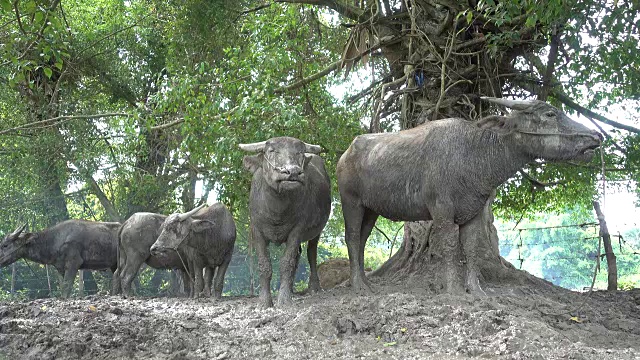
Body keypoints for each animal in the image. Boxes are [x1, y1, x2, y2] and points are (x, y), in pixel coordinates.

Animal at [239, 136, 330, 308]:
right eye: (271, 150)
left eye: (300, 152)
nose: (293, 171)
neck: (277, 210)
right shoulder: (256, 230)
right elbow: (264, 265)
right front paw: (264, 301)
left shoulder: (297, 230)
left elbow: (287, 263)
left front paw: (284, 299)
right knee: (298, 256)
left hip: (317, 232)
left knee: (311, 254)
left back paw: (314, 286)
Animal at [338, 96, 604, 296]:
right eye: (550, 114)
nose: (596, 136)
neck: (474, 156)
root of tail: (345, 155)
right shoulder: (442, 209)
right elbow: (449, 246)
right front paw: (454, 290)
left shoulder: (474, 211)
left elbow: (471, 248)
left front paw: (476, 290)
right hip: (351, 202)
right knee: (352, 237)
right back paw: (359, 286)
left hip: (371, 210)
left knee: (362, 240)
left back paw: (365, 282)